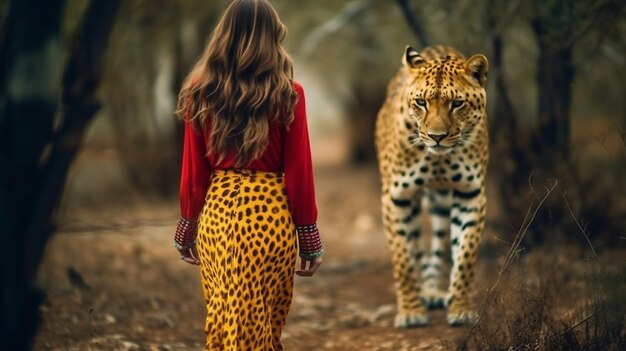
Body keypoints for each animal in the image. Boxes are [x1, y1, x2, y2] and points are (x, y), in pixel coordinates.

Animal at [376, 44, 488, 328]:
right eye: (421, 102)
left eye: (457, 103)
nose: (437, 137)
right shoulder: (396, 197)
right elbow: (403, 259)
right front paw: (410, 312)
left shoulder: (471, 194)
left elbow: (465, 255)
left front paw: (461, 308)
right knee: (416, 245)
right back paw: (423, 294)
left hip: (440, 204)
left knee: (437, 245)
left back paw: (434, 292)